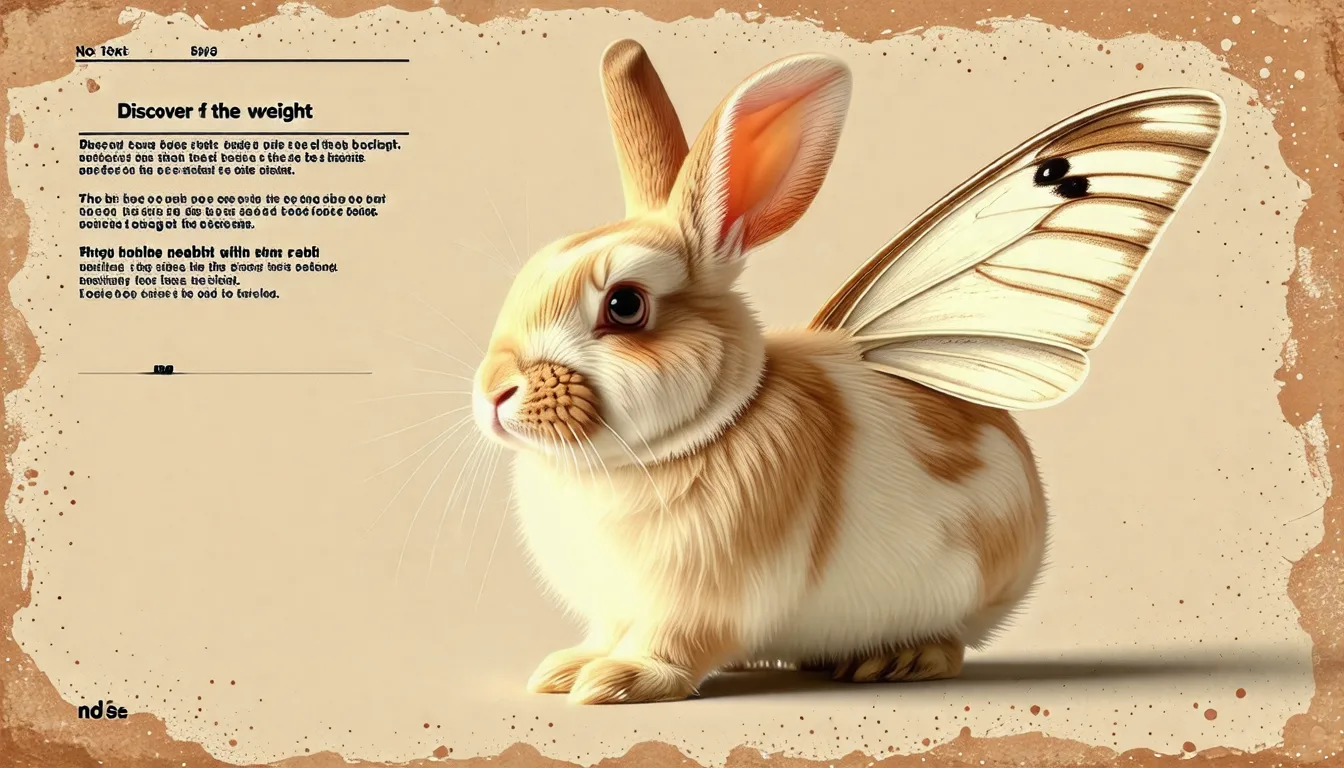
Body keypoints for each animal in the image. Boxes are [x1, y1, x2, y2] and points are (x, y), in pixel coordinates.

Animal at [468, 39, 1223, 704]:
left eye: (625, 306)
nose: (494, 393)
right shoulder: (618, 603)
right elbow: (608, 631)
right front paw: (569, 668)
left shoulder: (706, 597)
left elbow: (674, 646)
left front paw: (619, 682)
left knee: (951, 642)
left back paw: (897, 660)